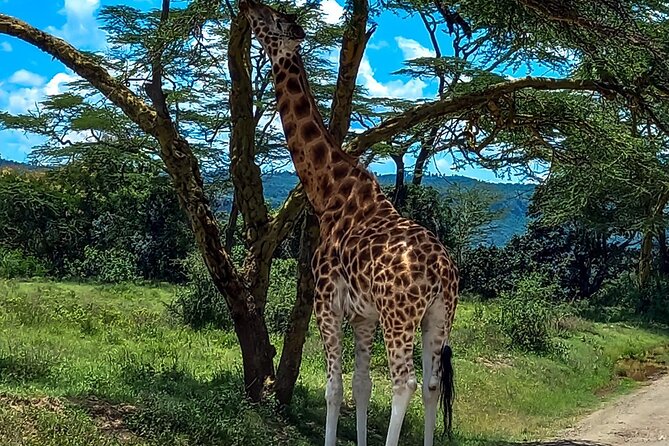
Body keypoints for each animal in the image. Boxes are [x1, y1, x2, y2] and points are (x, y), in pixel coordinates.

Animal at [238, 1, 459, 445]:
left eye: (271, 20)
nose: (247, 7)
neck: (328, 192)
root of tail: (444, 272)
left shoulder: (327, 302)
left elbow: (334, 388)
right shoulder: (364, 316)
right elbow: (361, 385)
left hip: (400, 315)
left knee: (405, 383)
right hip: (438, 317)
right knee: (430, 386)